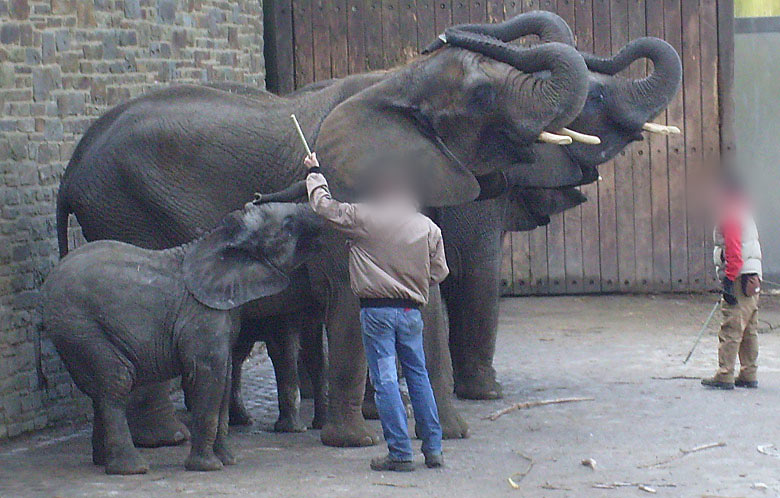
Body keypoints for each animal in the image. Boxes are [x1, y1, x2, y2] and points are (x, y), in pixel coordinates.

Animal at [38, 200, 320, 472]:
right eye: (288, 226)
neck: (218, 237)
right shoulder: (202, 315)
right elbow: (210, 376)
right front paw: (208, 467)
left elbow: (225, 378)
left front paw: (228, 460)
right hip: (81, 326)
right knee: (116, 382)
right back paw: (131, 468)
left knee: (99, 390)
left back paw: (103, 461)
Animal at [56, 14, 592, 448]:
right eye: (482, 96)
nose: (438, 36)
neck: (395, 82)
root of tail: (72, 168)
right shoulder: (350, 193)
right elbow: (351, 299)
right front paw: (353, 442)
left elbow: (428, 301)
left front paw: (454, 434)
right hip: (124, 208)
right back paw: (167, 440)